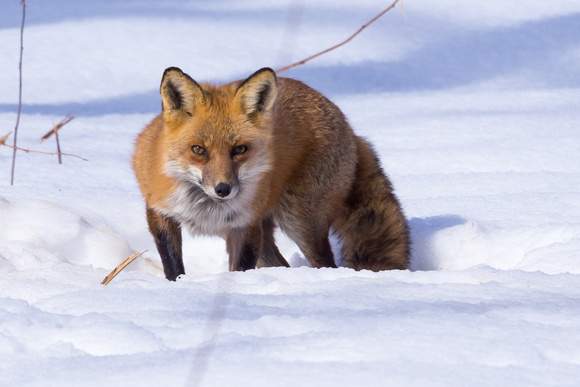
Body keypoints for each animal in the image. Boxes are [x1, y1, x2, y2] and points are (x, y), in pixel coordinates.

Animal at [134, 65, 410, 280]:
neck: (205, 207)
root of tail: (350, 129)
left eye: (240, 149)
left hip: (300, 220)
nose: (223, 189)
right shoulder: (159, 211)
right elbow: (172, 265)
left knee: (325, 263)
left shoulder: (247, 224)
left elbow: (240, 269)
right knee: (281, 265)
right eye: (198, 150)